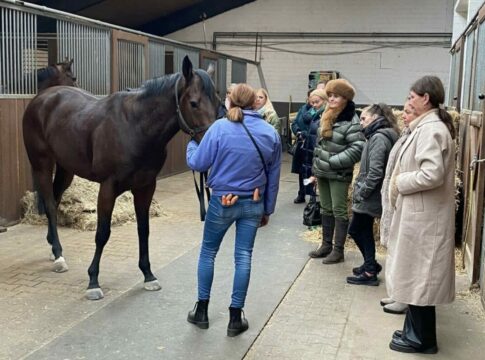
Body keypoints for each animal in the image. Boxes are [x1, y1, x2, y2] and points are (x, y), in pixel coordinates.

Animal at [23, 55, 216, 298]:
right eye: (194, 103)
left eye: (218, 101)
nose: (213, 142)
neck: (135, 127)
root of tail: (43, 97)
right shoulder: (108, 187)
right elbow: (102, 233)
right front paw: (93, 282)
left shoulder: (146, 187)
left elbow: (144, 230)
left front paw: (148, 275)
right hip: (42, 164)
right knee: (49, 204)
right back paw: (58, 256)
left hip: (66, 169)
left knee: (56, 200)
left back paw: (54, 249)